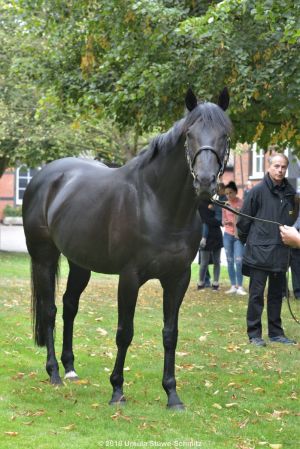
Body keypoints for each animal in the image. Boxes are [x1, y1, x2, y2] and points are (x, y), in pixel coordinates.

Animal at [22, 86, 232, 406]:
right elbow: (125, 332)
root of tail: (44, 177)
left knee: (70, 306)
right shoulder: (130, 278)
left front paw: (172, 394)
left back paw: (70, 368)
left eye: (225, 134)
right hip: (44, 257)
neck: (157, 204)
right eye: (189, 134)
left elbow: (170, 333)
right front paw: (117, 390)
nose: (206, 182)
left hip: (79, 263)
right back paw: (54, 373)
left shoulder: (178, 278)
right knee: (50, 310)